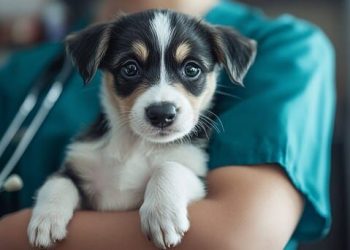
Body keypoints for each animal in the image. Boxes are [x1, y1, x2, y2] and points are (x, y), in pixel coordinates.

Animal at [27, 8, 256, 249]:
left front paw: (163, 215)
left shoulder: (199, 181)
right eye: (130, 68)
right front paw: (45, 220)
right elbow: (58, 181)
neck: (137, 144)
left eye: (192, 69)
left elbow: (169, 167)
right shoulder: (79, 170)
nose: (162, 113)